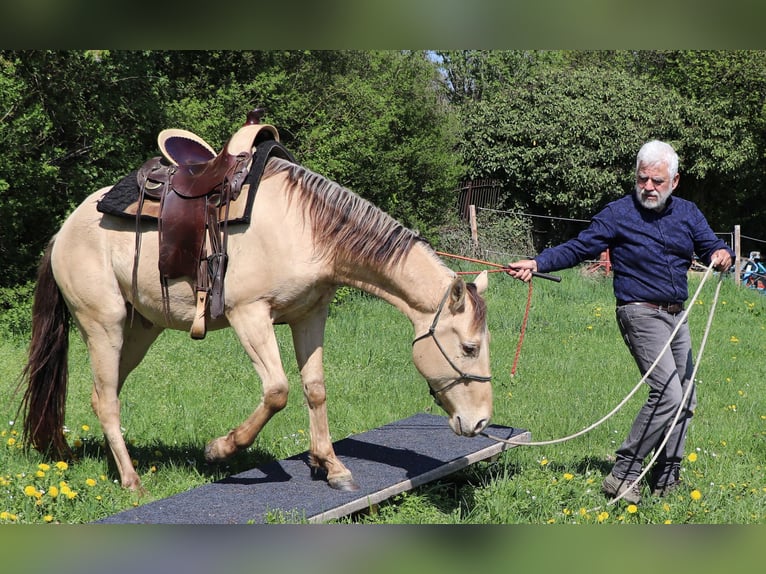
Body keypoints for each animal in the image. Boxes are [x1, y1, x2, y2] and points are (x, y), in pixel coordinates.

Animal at [18, 155, 493, 493]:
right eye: (469, 348)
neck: (307, 227)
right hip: (105, 326)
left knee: (105, 393)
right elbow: (278, 391)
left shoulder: (309, 316)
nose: (482, 423)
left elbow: (315, 389)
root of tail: (62, 233)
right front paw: (219, 449)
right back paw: (132, 481)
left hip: (138, 332)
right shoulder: (250, 315)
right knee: (106, 401)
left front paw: (331, 466)